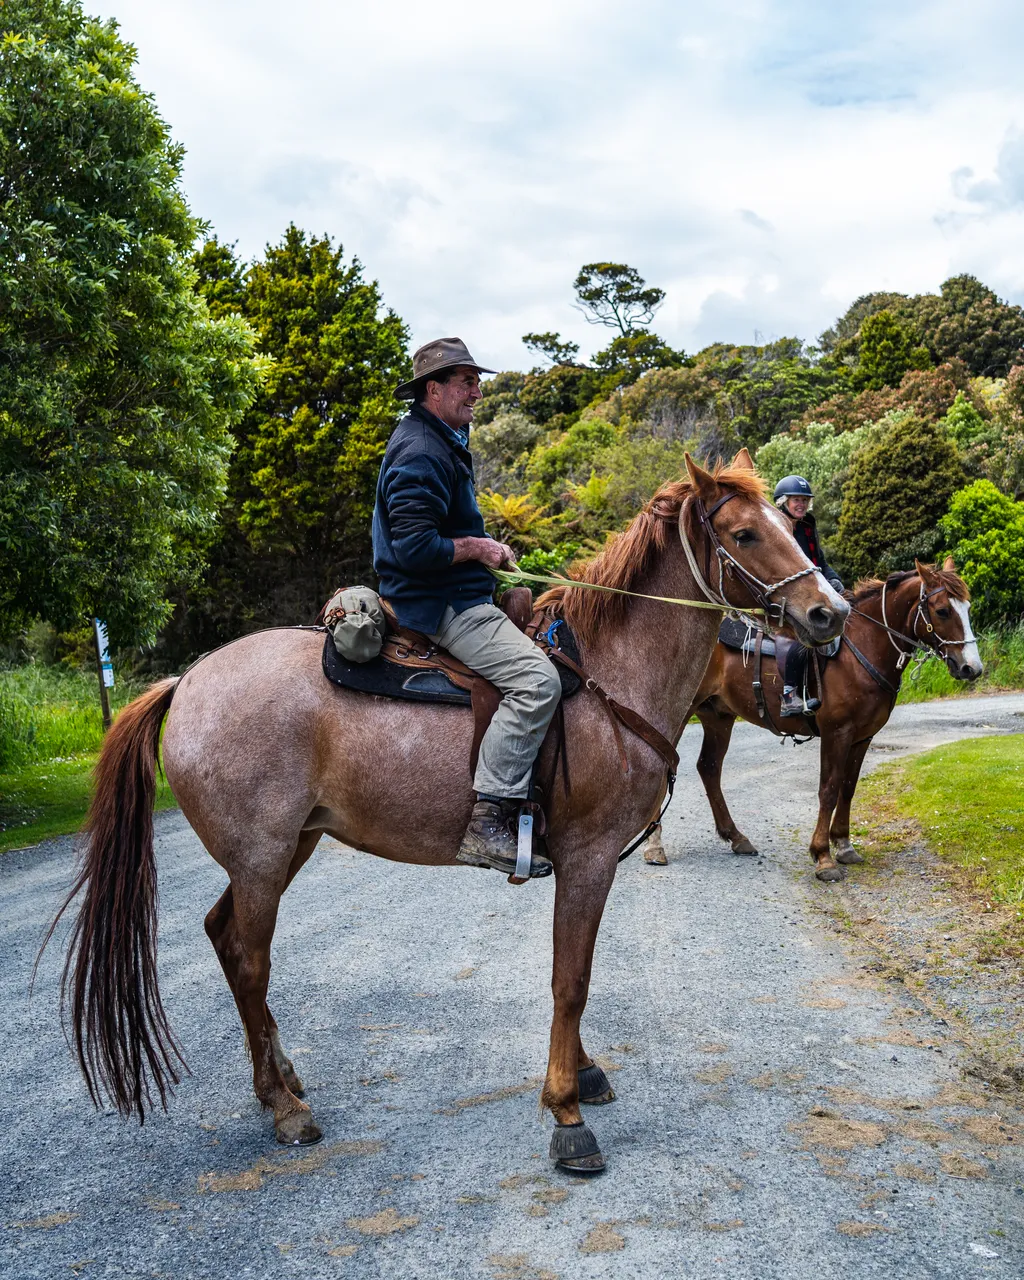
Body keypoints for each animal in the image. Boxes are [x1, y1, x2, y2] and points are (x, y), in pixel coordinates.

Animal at [46, 451, 848, 1175]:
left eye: (787, 523)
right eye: (744, 533)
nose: (830, 612)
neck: (607, 676)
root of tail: (187, 681)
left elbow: (576, 973)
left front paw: (583, 1074)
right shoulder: (588, 858)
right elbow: (572, 979)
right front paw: (566, 1112)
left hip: (285, 849)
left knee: (222, 935)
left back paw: (280, 1079)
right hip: (263, 856)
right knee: (248, 958)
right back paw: (285, 1108)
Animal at [643, 558, 982, 882]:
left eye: (967, 608)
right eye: (942, 610)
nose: (972, 668)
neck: (861, 650)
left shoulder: (863, 737)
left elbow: (848, 787)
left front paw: (843, 844)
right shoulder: (837, 734)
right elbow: (828, 790)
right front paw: (823, 856)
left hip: (718, 716)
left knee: (710, 768)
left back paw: (736, 837)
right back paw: (654, 844)